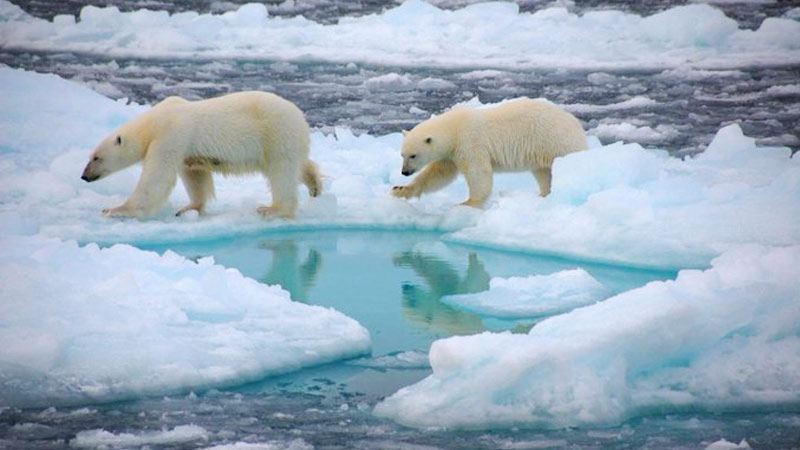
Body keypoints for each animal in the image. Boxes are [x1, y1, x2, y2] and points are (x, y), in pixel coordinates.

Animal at [79, 91, 320, 218]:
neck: (154, 122)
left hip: (276, 133)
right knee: (299, 164)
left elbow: (157, 177)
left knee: (282, 172)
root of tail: (300, 116)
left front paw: (115, 209)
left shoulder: (171, 135)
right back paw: (315, 184)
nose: (84, 176)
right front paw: (188, 208)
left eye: (96, 157)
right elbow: (195, 176)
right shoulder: (185, 149)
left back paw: (272, 209)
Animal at [394, 98, 588, 207]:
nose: (404, 172)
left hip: (556, 141)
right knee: (543, 173)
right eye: (402, 154)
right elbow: (438, 174)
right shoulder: (450, 154)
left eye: (413, 155)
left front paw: (468, 202)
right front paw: (400, 190)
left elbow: (478, 173)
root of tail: (575, 123)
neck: (454, 129)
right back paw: (544, 194)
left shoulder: (470, 142)